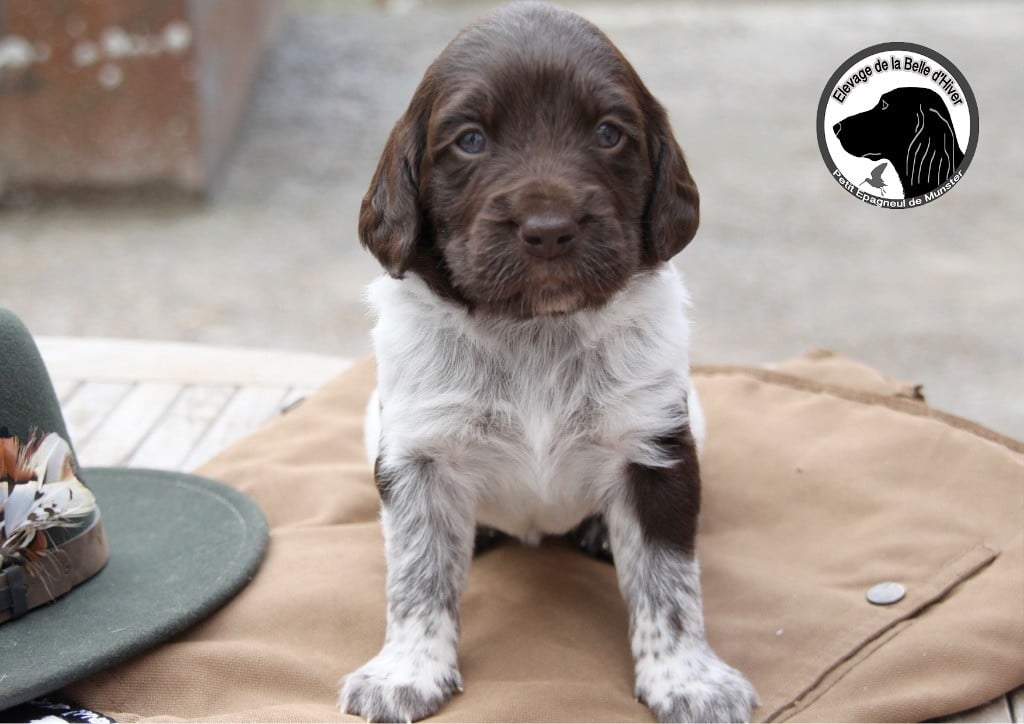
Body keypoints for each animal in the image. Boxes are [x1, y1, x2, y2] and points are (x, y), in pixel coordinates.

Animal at [340, 3, 757, 721]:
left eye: (609, 133)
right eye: (471, 141)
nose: (550, 230)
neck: (536, 330)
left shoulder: (657, 450)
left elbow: (669, 582)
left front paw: (688, 680)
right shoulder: (416, 454)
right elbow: (417, 575)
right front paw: (406, 671)